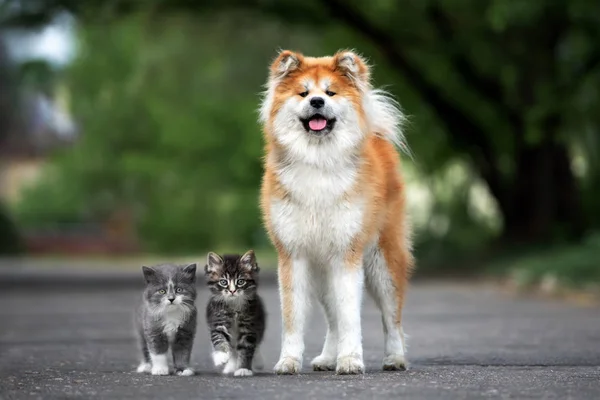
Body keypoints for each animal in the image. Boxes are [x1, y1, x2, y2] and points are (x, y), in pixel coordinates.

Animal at [258, 50, 412, 376]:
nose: (317, 102)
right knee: (332, 320)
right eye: (303, 93)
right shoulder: (293, 255)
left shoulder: (346, 254)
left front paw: (351, 360)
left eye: (330, 93)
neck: (318, 161)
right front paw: (289, 361)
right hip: (321, 272)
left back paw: (395, 357)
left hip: (383, 262)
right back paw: (328, 358)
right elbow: (294, 319)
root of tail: (377, 137)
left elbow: (351, 316)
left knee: (391, 317)